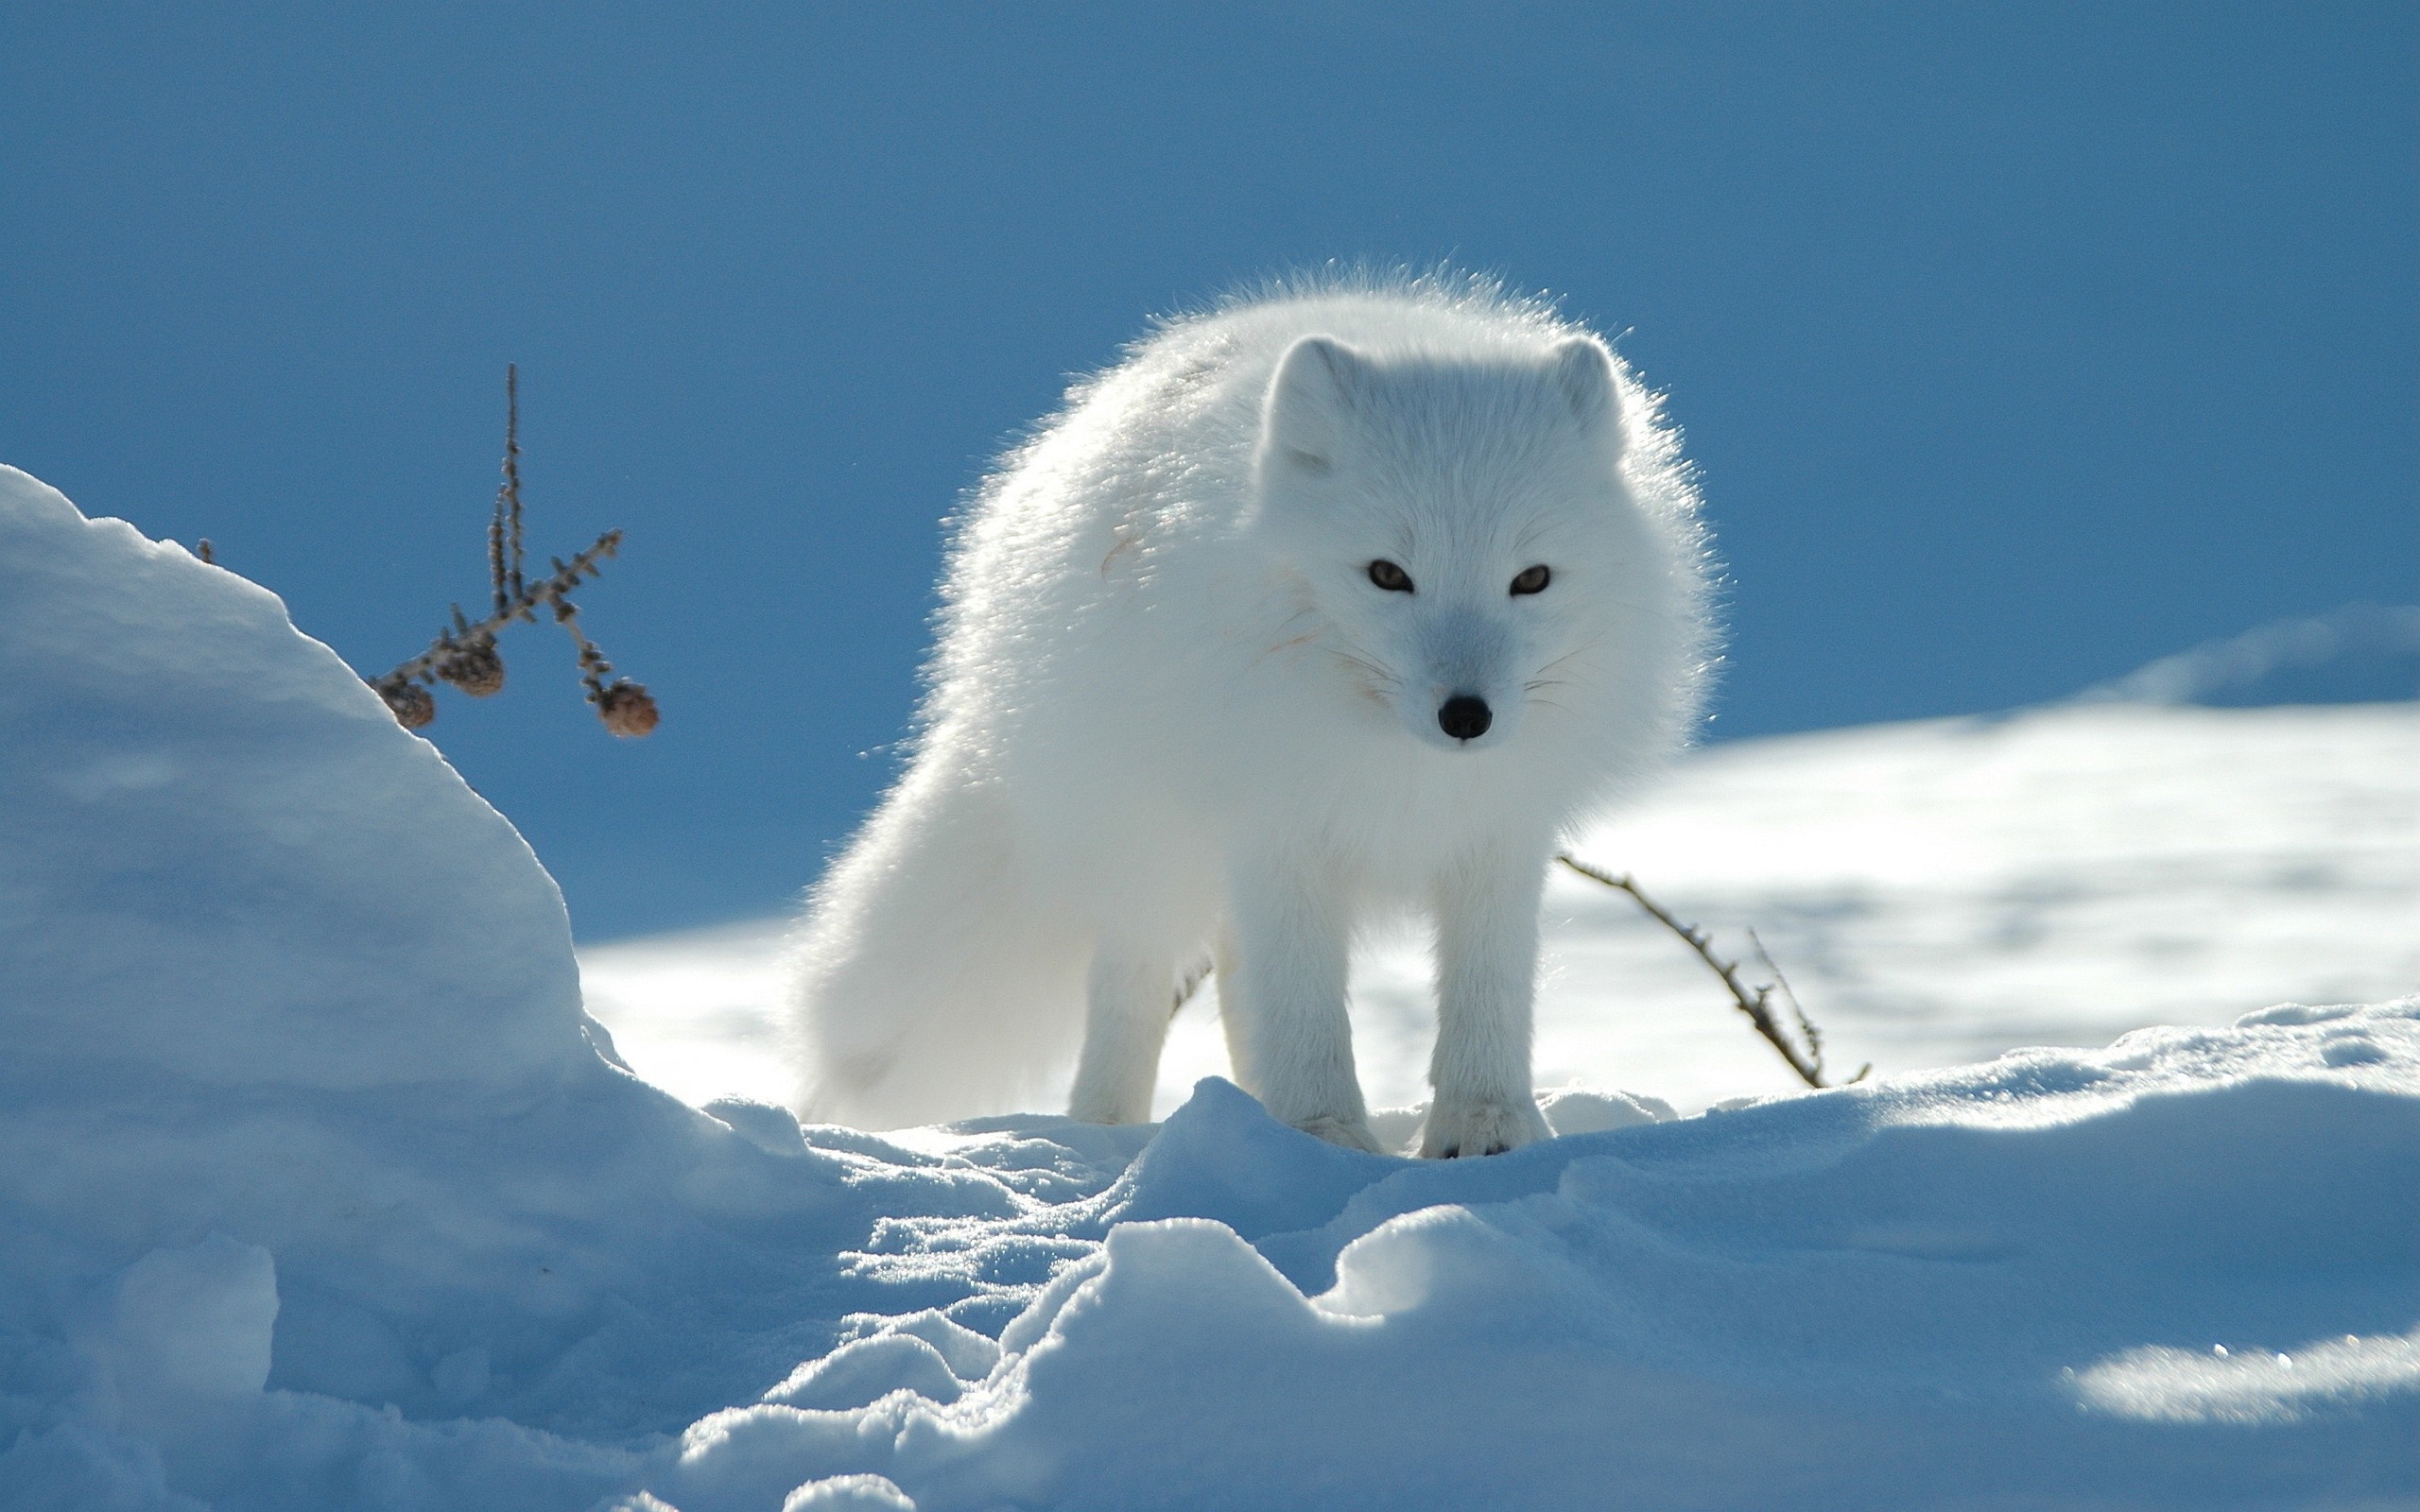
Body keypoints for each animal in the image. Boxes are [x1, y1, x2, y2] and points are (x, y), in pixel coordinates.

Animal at [790, 273, 1714, 1157]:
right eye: (1388, 575)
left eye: (1532, 579)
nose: (1467, 717)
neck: (1401, 767)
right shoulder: (1278, 827)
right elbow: (1303, 1008)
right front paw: (1324, 1136)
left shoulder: (1499, 834)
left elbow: (1488, 993)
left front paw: (1486, 1129)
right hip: (1149, 847)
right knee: (1134, 987)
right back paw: (1107, 1134)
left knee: (1237, 987)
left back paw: (1247, 1113)